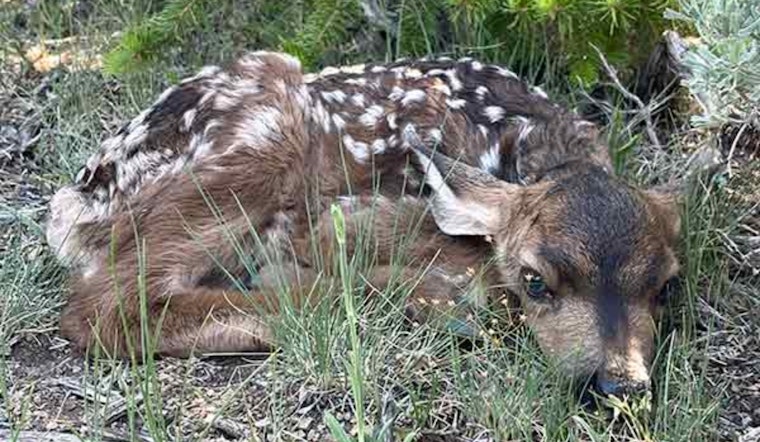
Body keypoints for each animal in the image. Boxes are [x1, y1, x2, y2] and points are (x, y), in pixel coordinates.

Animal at [46, 51, 681, 396]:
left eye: (665, 287)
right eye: (535, 280)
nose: (618, 384)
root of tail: (84, 195)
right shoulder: (336, 219)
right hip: (263, 134)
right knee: (102, 306)